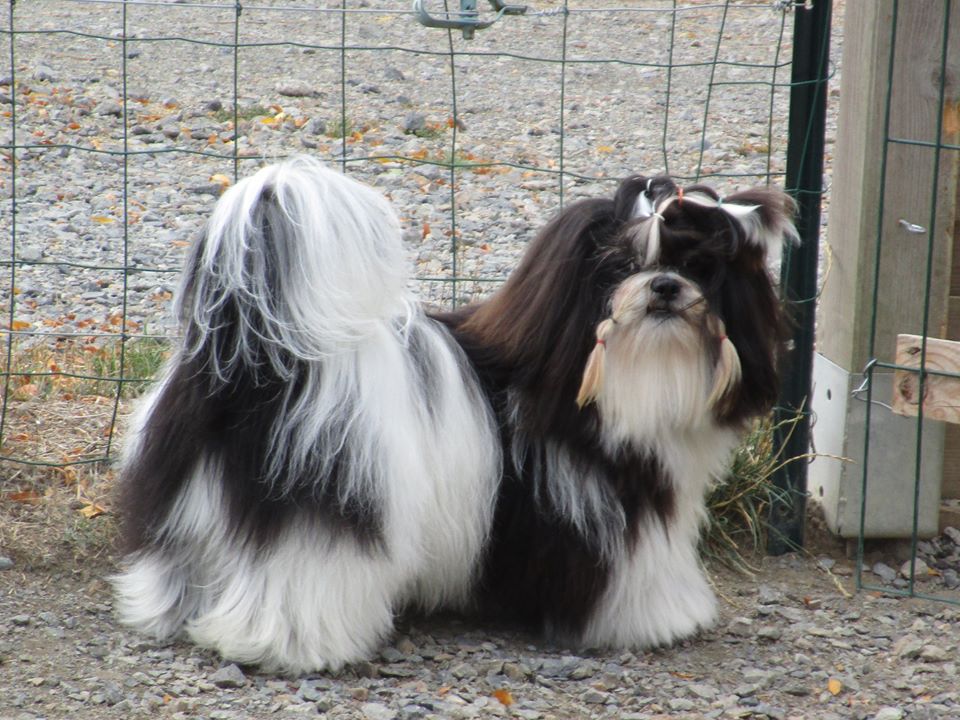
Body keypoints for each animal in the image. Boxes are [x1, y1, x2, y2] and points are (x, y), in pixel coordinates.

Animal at [112, 156, 797, 674]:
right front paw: (657, 620)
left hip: (185, 496)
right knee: (298, 579)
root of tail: (254, 347)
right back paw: (290, 647)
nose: (665, 288)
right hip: (323, 507)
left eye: (699, 266)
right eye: (621, 267)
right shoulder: (606, 509)